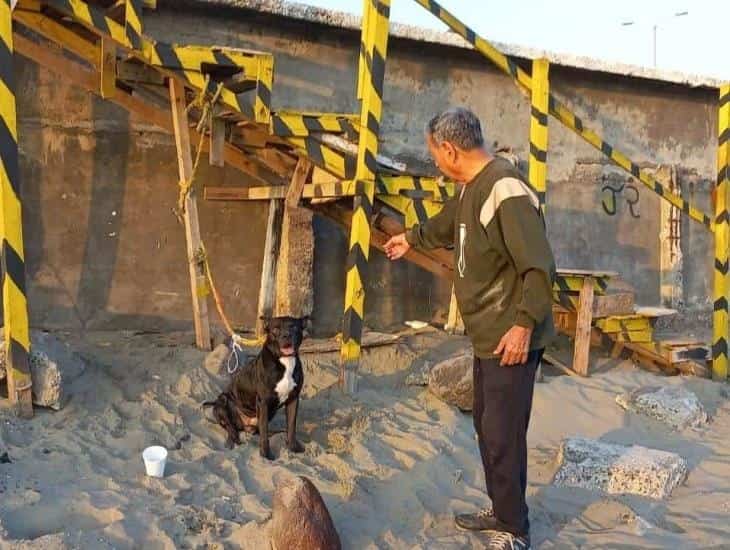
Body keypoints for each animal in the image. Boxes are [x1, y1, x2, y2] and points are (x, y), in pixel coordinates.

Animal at [203, 316, 306, 460]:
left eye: (294, 327)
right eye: (275, 329)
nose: (287, 335)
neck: (285, 361)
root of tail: (245, 425)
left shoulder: (293, 400)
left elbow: (291, 427)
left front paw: (293, 447)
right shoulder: (263, 402)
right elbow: (264, 432)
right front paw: (266, 454)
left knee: (258, 430)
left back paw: (275, 432)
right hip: (222, 401)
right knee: (230, 427)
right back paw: (233, 439)